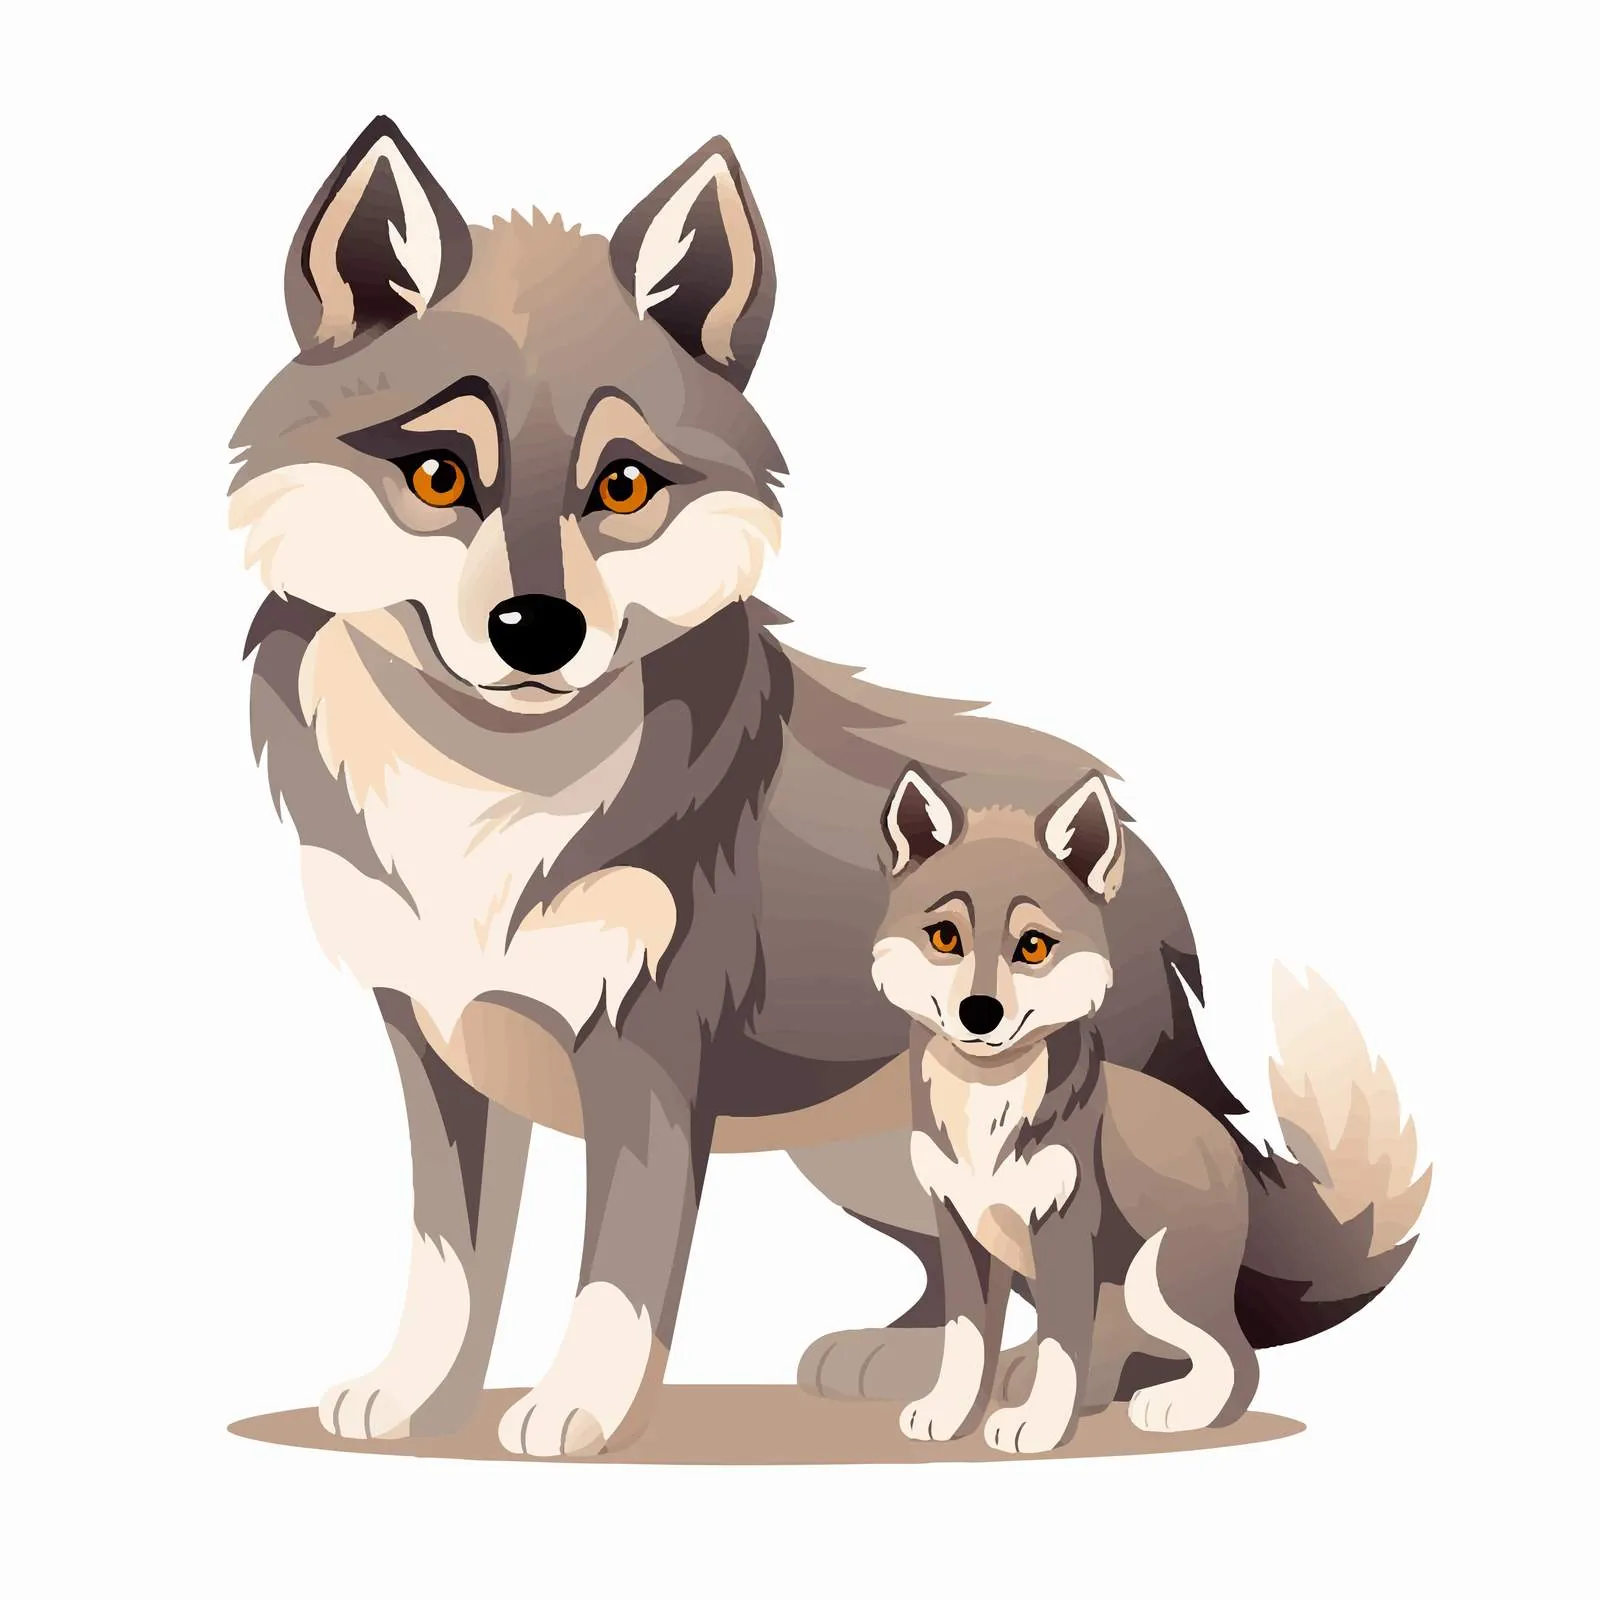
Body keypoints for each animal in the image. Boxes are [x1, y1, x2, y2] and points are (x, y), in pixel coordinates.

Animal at [872, 768, 1427, 1452]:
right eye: (946, 938)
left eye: (1033, 947)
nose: (980, 1013)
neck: (988, 1107)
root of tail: (1221, 1145)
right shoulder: (959, 1223)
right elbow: (968, 1339)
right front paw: (951, 1414)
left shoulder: (1062, 1224)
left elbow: (1061, 1343)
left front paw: (1039, 1424)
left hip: (1152, 1282)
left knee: (1237, 1359)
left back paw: (1176, 1407)